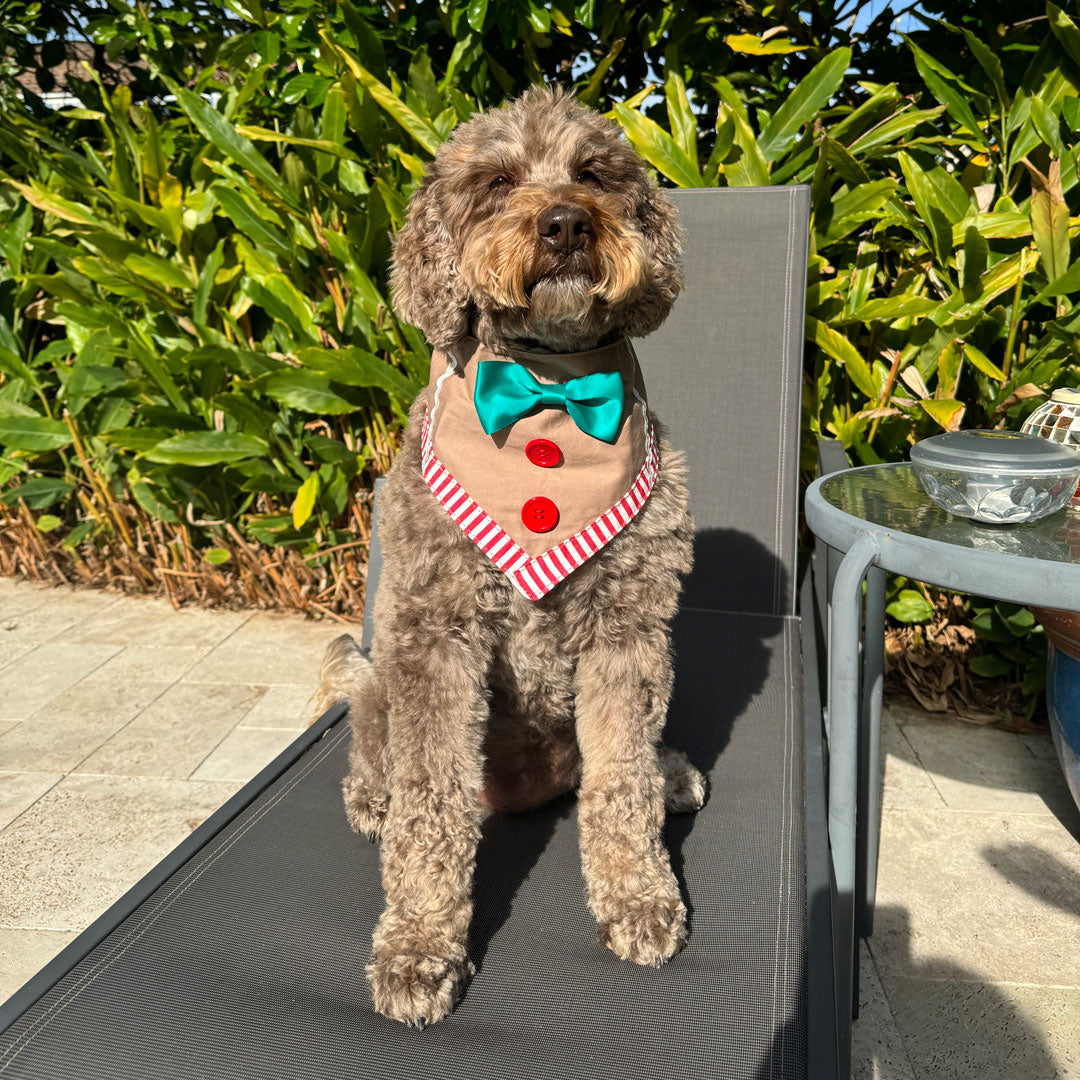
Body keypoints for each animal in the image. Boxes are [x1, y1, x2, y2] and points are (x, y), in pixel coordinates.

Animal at [315, 84, 699, 1028]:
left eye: (595, 172)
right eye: (495, 180)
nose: (565, 223)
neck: (549, 398)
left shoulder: (628, 631)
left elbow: (620, 781)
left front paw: (640, 895)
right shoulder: (437, 640)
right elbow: (431, 807)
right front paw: (419, 946)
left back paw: (671, 772)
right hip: (384, 670)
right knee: (373, 739)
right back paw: (371, 795)